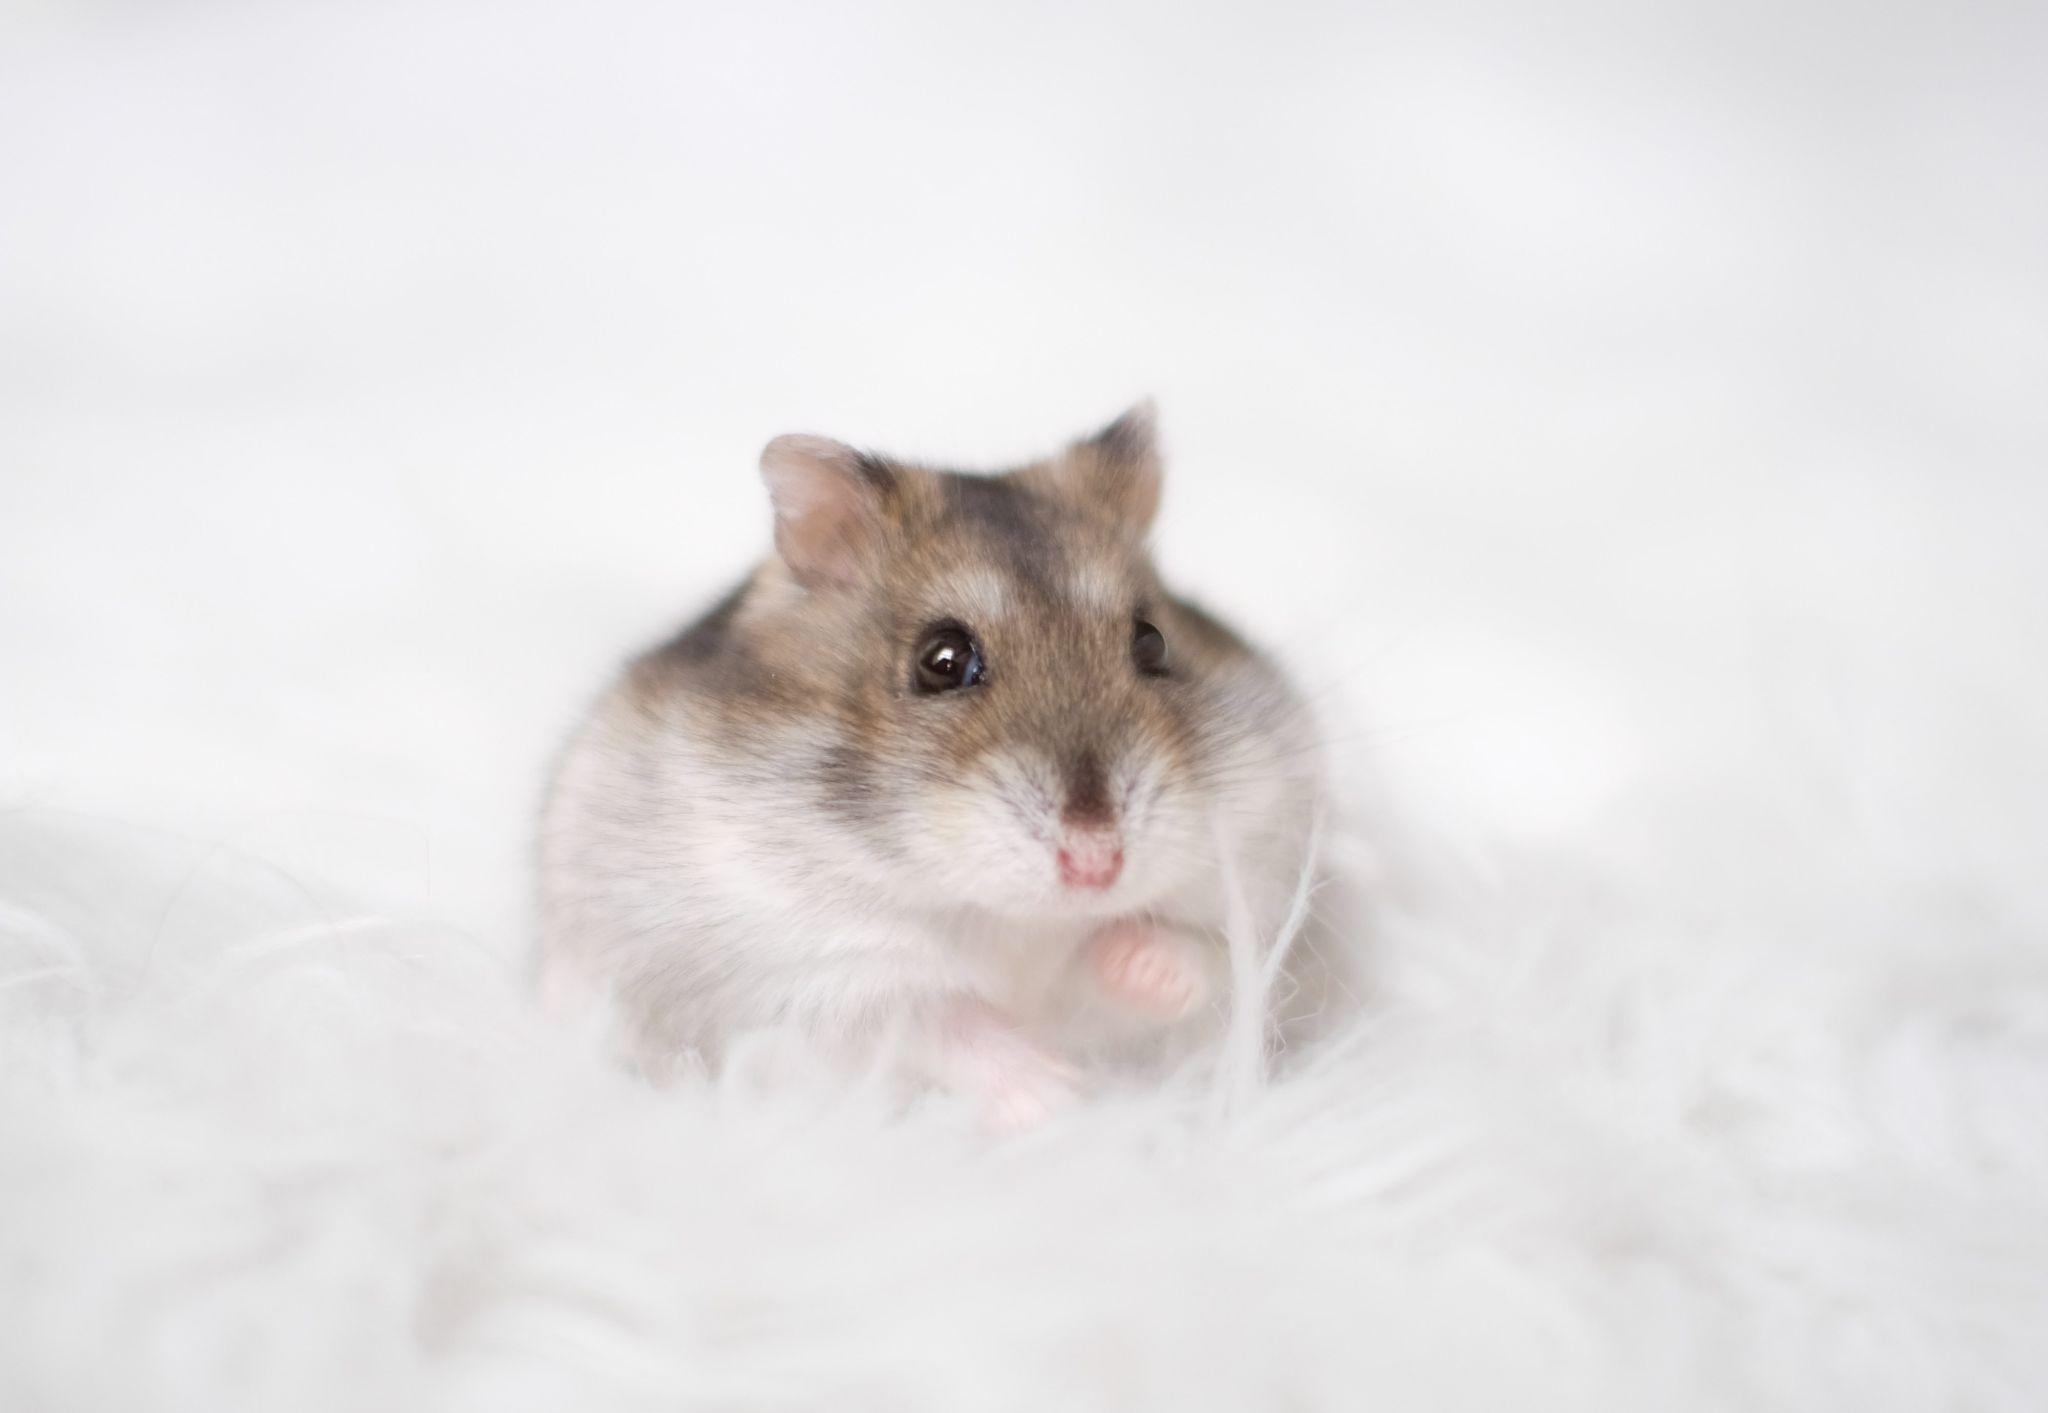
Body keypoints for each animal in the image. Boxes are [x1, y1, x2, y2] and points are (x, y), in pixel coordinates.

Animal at [536, 405, 1328, 1123]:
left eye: (1154, 642)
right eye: (941, 661)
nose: (1097, 863)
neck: (1013, 919)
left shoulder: (1267, 891)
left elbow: (1203, 956)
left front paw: (1129, 961)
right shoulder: (807, 973)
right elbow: (934, 1019)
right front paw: (1056, 1094)